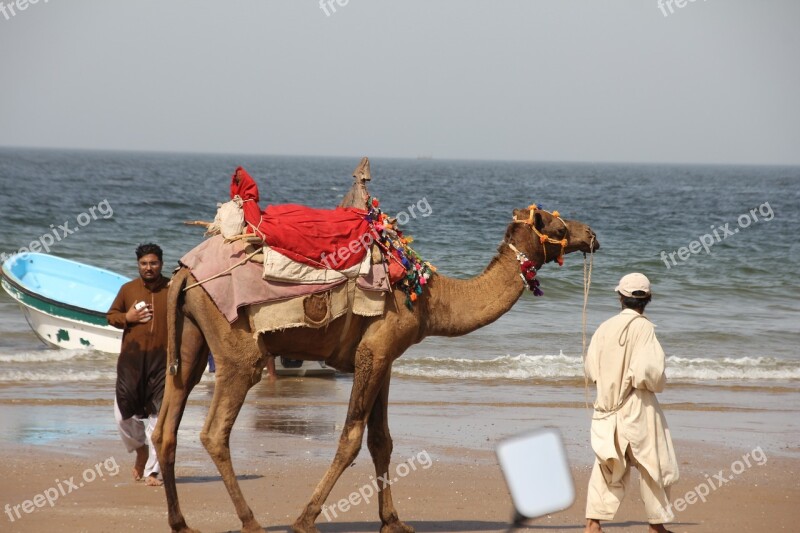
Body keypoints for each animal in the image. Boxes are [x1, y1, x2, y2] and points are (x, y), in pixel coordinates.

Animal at [152, 170, 600, 532]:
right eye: (555, 223)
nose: (592, 234)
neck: (430, 297)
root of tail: (184, 273)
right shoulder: (376, 348)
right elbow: (350, 438)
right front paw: (305, 518)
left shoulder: (384, 357)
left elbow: (381, 440)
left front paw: (393, 520)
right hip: (234, 342)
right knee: (215, 430)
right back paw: (250, 522)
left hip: (192, 338)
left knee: (166, 424)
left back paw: (180, 522)